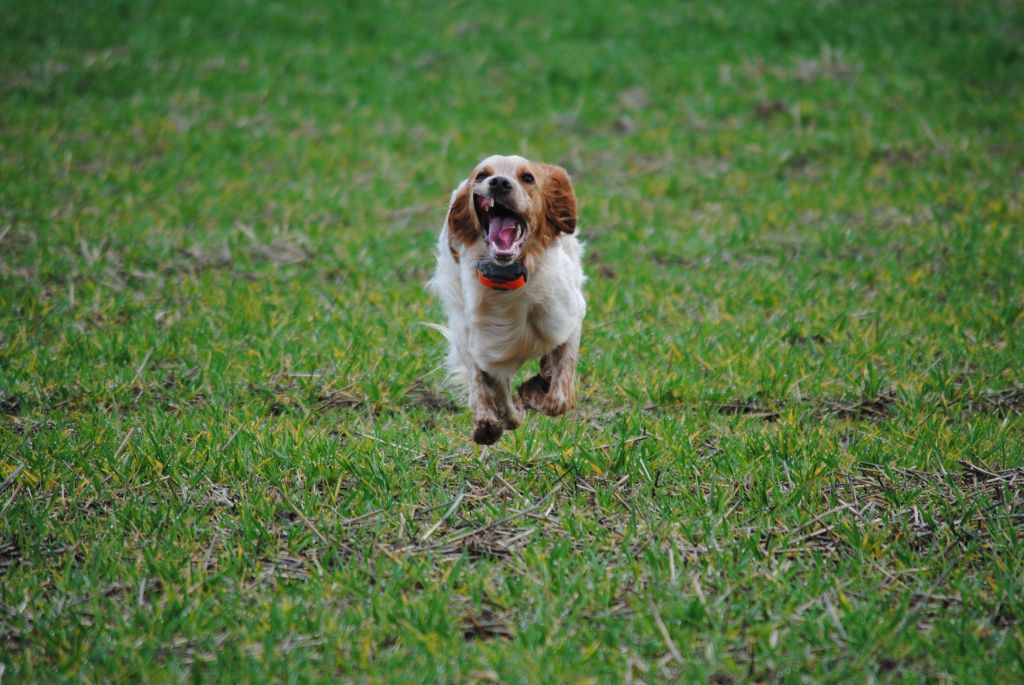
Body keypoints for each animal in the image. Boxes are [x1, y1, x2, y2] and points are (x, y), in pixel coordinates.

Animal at [425, 154, 585, 444]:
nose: (498, 182)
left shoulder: (572, 315)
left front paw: (536, 390)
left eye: (528, 177)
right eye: (481, 175)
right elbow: (498, 396)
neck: (508, 283)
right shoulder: (486, 348)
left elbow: (559, 396)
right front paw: (493, 419)